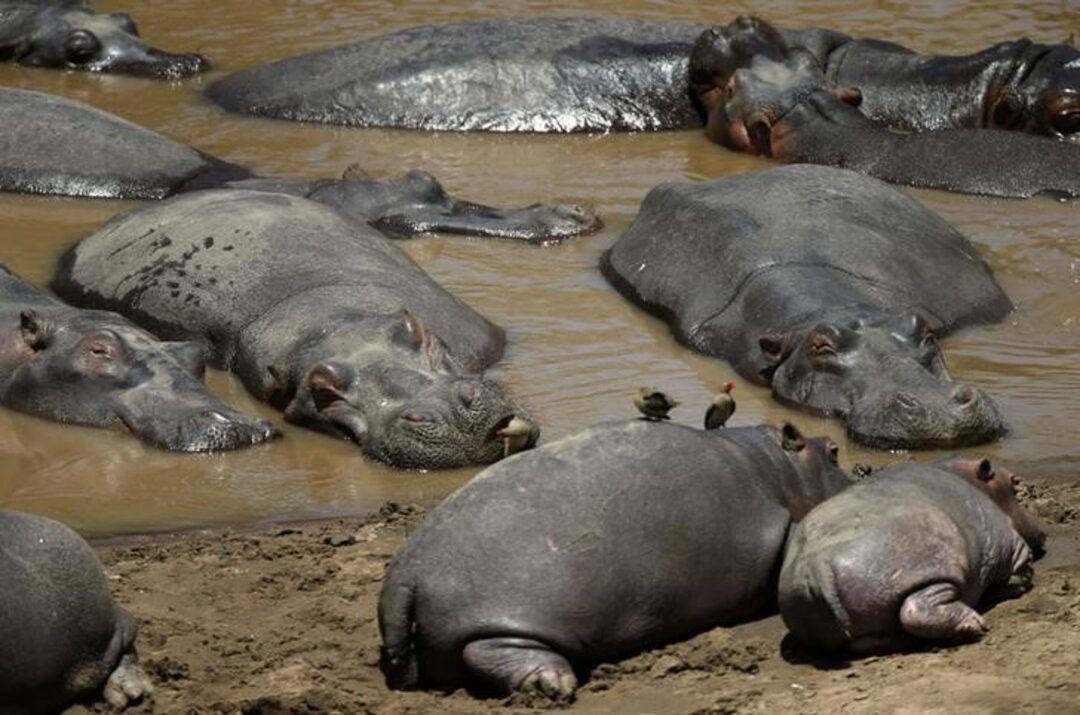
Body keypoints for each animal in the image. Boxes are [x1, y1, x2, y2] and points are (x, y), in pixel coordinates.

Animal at [378, 420, 851, 699]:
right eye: (834, 450)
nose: (858, 473)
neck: (776, 469)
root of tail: (404, 575)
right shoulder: (776, 525)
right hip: (510, 616)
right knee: (490, 649)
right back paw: (556, 684)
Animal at [778, 457, 1045, 654]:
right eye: (1013, 483)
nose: (1042, 529)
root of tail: (817, 566)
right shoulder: (1012, 545)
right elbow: (1022, 570)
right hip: (931, 570)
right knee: (915, 609)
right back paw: (975, 623)